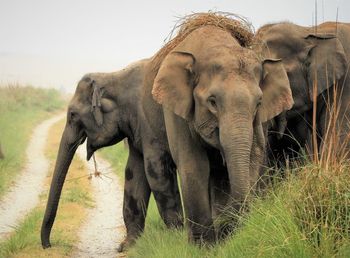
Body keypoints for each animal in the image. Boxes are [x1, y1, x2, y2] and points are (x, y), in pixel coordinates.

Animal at [40, 59, 183, 252]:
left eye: (72, 114)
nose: (48, 245)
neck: (112, 76)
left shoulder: (149, 121)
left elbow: (156, 171)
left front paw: (177, 237)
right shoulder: (137, 127)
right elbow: (134, 171)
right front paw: (126, 246)